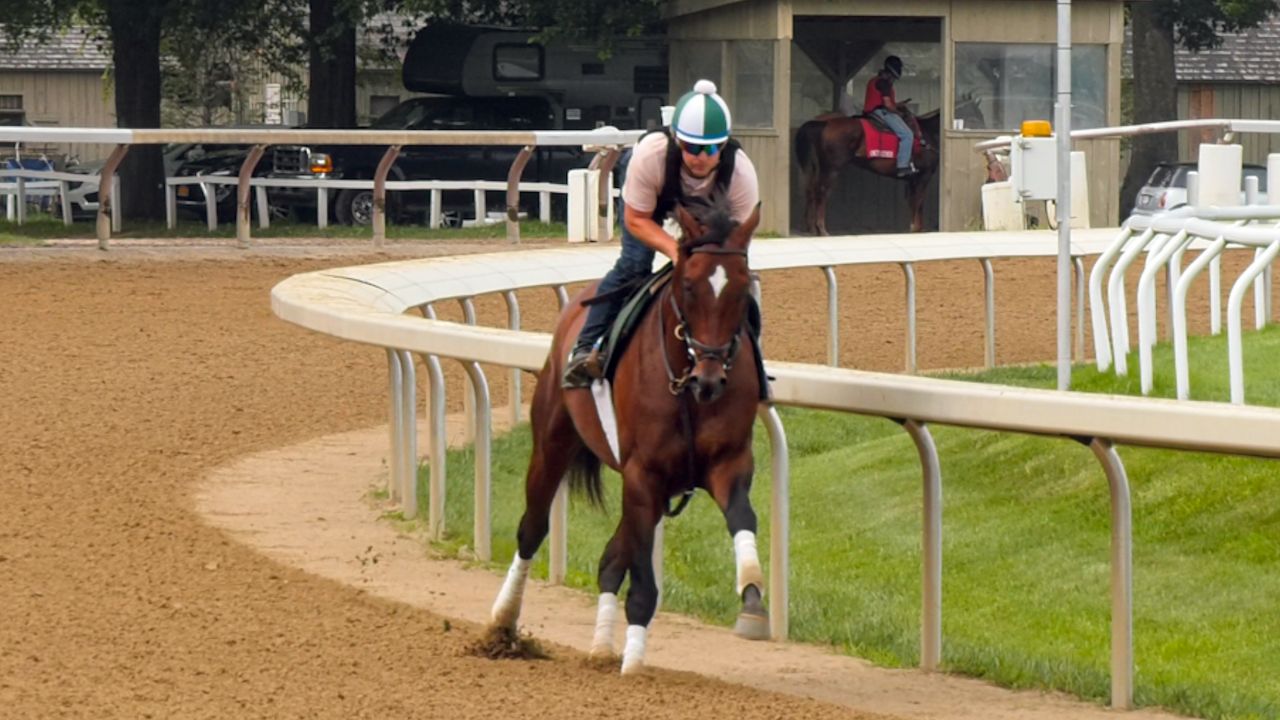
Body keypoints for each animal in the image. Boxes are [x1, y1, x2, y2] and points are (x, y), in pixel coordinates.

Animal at [488, 197, 762, 671]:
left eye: (742, 288)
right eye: (688, 286)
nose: (709, 380)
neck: (684, 386)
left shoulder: (728, 463)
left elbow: (743, 518)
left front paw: (752, 602)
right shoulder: (643, 473)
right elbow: (643, 582)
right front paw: (634, 666)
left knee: (610, 559)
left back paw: (600, 648)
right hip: (553, 442)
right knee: (532, 529)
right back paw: (502, 623)